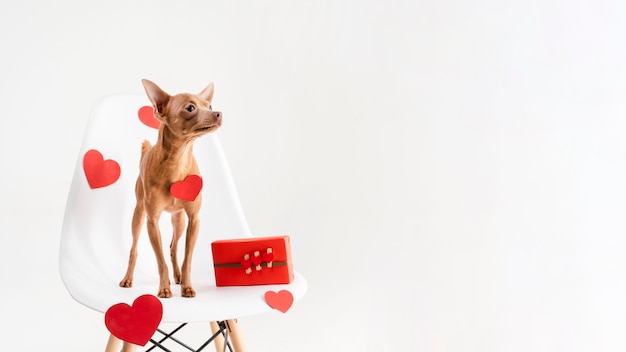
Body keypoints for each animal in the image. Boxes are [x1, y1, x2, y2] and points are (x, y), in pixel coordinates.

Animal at [119, 80, 222, 296]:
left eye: (209, 106)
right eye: (190, 108)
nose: (218, 113)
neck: (177, 160)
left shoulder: (193, 220)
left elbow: (187, 259)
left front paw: (187, 286)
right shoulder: (152, 223)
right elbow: (160, 262)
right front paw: (164, 288)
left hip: (179, 219)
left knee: (173, 246)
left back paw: (178, 276)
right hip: (138, 216)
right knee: (134, 249)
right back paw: (128, 278)